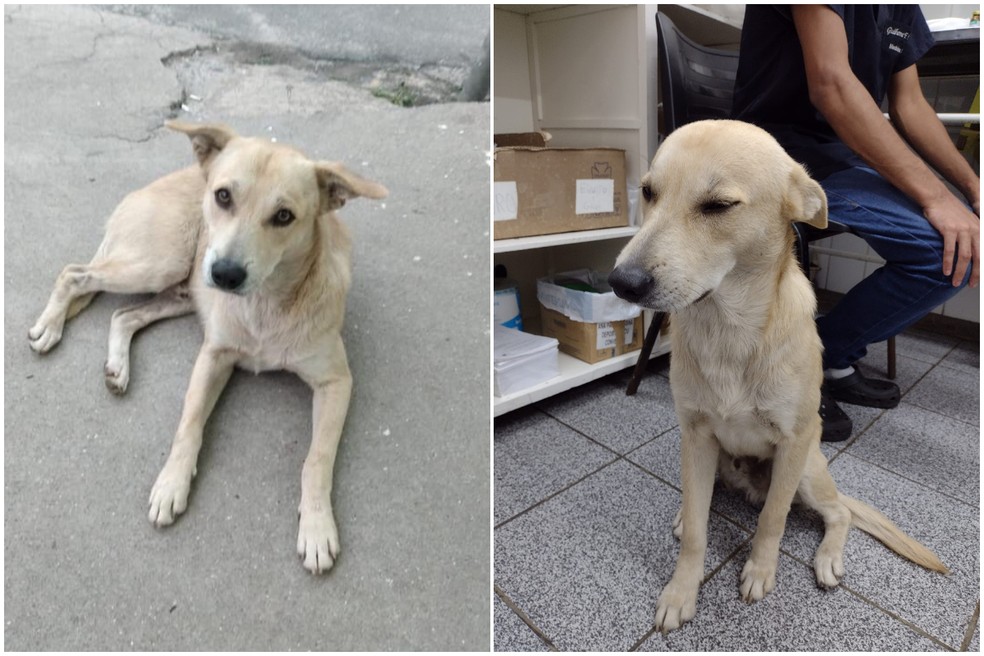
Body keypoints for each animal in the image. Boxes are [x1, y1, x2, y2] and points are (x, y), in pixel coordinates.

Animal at [612, 120, 948, 632]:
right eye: (649, 192)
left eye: (718, 206)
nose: (621, 283)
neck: (728, 330)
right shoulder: (695, 435)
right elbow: (698, 529)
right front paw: (681, 590)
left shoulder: (792, 442)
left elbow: (772, 520)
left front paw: (759, 571)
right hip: (711, 456)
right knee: (700, 501)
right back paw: (685, 516)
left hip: (807, 469)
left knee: (835, 513)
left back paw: (827, 557)